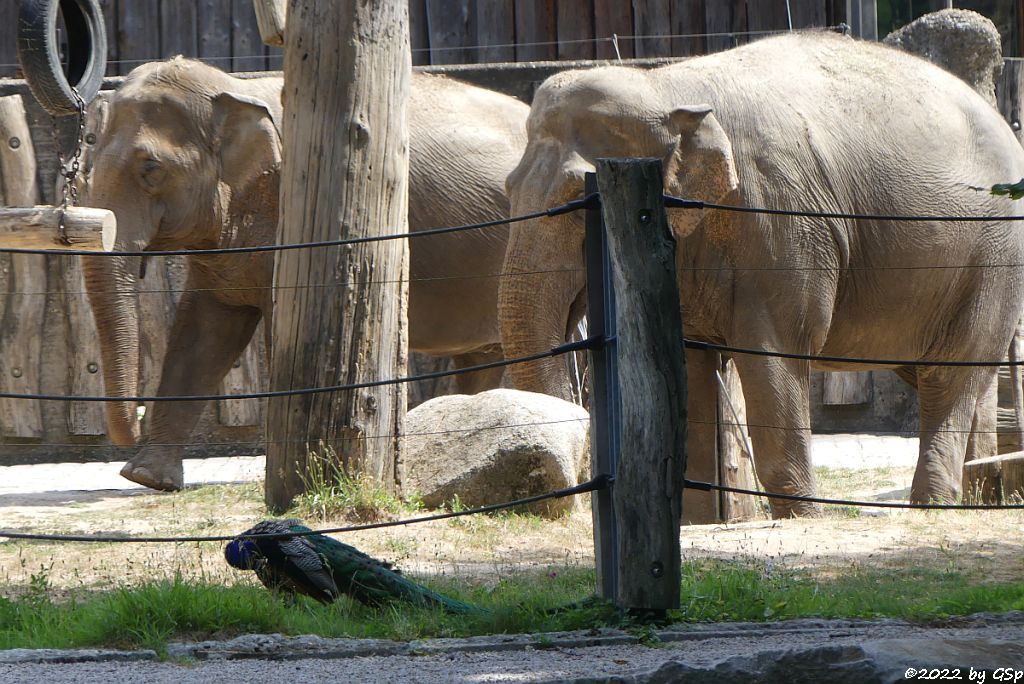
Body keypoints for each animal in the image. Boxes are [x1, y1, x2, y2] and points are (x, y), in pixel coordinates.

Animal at [81, 56, 528, 489]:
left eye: (150, 169)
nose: (133, 423)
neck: (234, 88)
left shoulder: (295, 221)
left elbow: (274, 328)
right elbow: (203, 331)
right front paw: (148, 479)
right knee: (484, 356)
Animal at [499, 29, 1024, 516]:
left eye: (576, 200)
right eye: (507, 188)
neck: (667, 86)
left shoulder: (781, 220)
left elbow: (777, 353)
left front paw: (803, 519)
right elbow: (689, 367)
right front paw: (696, 524)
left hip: (994, 254)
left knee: (951, 372)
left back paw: (932, 507)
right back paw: (975, 495)